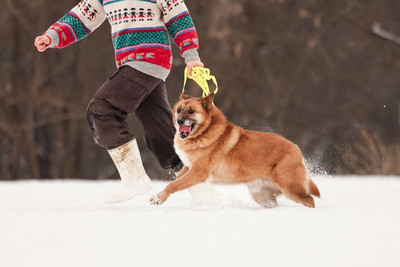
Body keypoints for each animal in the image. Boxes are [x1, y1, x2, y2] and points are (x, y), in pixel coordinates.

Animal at [150, 92, 322, 209]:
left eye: (191, 111)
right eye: (179, 110)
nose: (179, 121)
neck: (203, 133)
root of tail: (296, 149)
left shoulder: (198, 172)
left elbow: (173, 185)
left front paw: (158, 197)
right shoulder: (188, 168)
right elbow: (177, 180)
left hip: (290, 188)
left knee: (310, 200)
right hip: (262, 196)